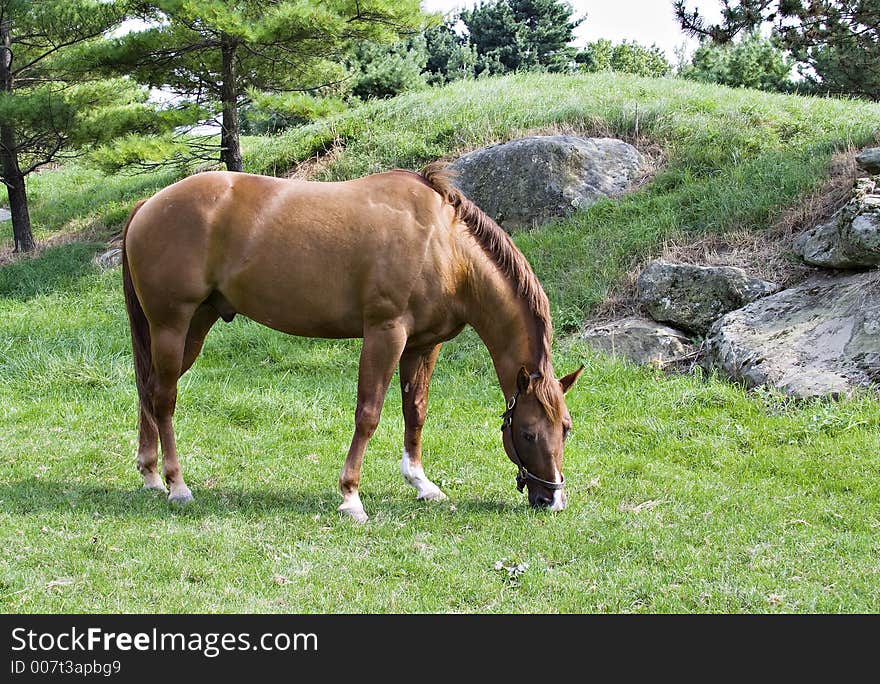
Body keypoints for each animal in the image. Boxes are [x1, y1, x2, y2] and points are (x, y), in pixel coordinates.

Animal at [120, 163, 580, 520]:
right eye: (528, 434)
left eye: (566, 429)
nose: (552, 500)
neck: (443, 246)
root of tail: (149, 204)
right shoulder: (385, 333)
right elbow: (369, 414)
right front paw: (351, 496)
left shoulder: (422, 345)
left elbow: (416, 412)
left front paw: (421, 483)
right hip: (172, 325)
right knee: (163, 399)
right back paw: (177, 485)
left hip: (195, 325)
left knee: (149, 389)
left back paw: (151, 475)